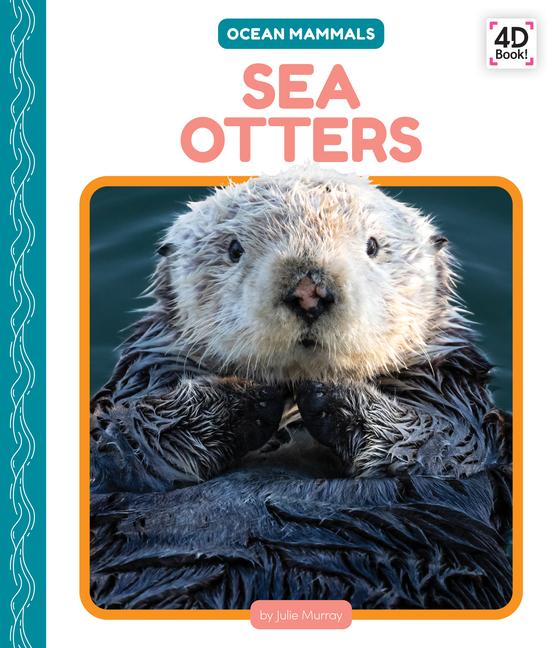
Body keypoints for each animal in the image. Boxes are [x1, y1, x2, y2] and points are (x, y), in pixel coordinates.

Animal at [90, 166, 509, 494]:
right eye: (234, 249)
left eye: (373, 246)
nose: (309, 292)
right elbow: (124, 435)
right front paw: (253, 393)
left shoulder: (460, 410)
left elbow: (439, 443)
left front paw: (326, 391)